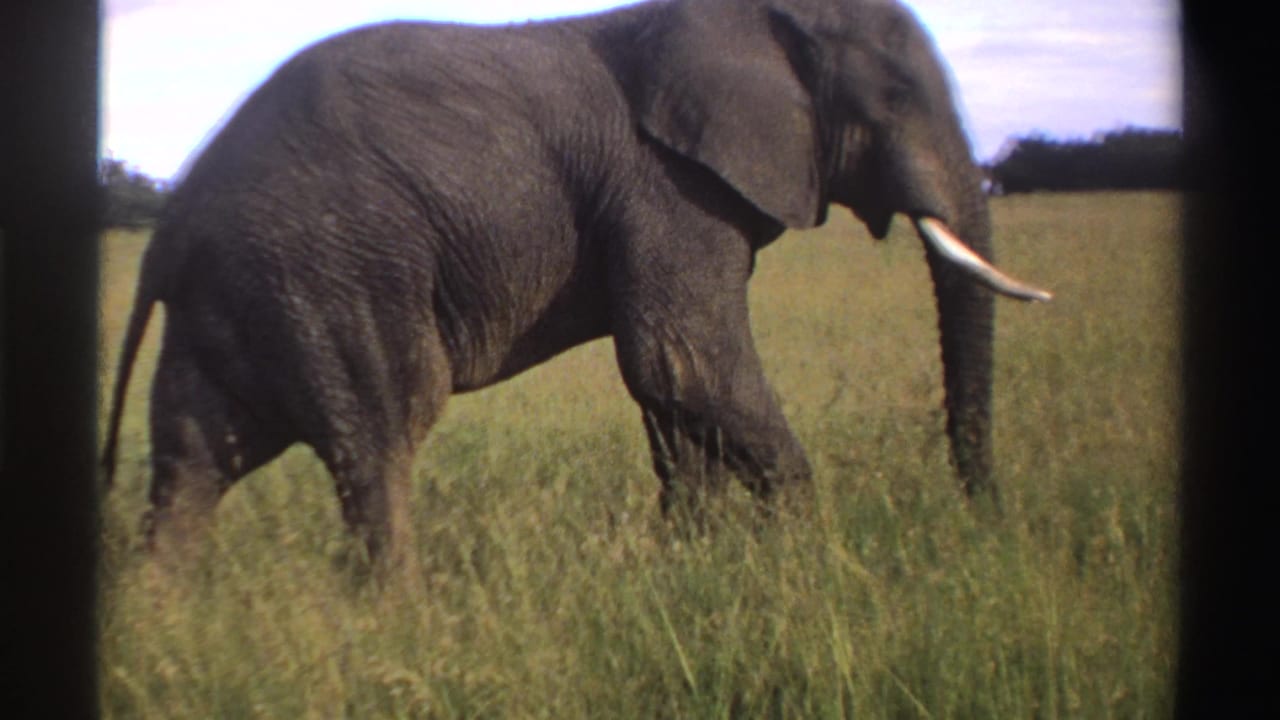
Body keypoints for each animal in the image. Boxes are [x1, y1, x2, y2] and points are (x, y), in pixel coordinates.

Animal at [101, 0, 1050, 570]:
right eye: (895, 93)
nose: (986, 518)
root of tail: (173, 221)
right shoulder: (665, 187)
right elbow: (685, 363)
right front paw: (814, 559)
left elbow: (674, 395)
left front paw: (694, 565)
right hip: (332, 275)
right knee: (379, 441)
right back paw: (399, 620)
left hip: (241, 298)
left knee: (192, 465)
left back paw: (168, 619)